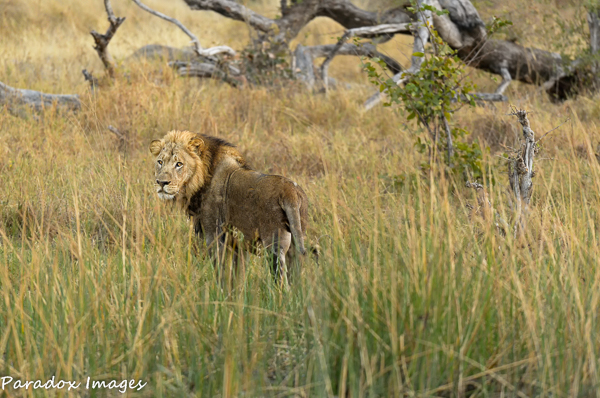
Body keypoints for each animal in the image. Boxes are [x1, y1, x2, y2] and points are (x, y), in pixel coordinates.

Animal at [149, 130, 310, 282]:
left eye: (179, 164)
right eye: (160, 162)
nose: (161, 183)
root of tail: (290, 191)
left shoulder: (214, 235)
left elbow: (221, 272)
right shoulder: (238, 245)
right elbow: (237, 277)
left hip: (274, 245)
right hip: (295, 242)